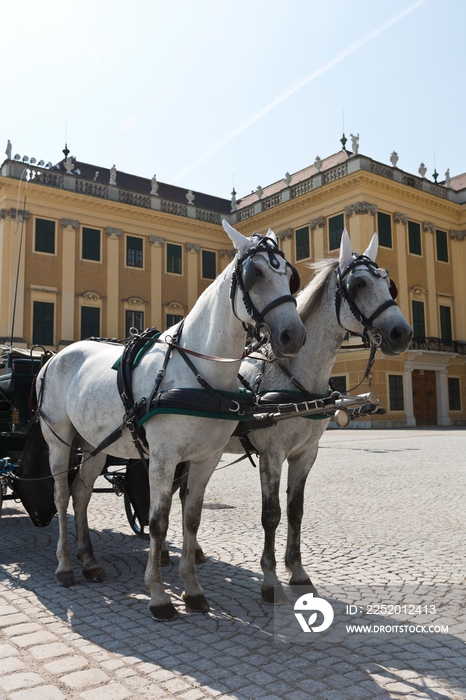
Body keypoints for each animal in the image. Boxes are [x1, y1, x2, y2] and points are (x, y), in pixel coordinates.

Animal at [35, 221, 306, 620]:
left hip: (95, 444)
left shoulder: (205, 458)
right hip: (59, 441)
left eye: (289, 276)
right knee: (61, 494)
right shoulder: (164, 457)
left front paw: (192, 589)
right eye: (254, 273)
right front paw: (159, 594)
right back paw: (65, 565)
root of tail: (54, 357)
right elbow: (158, 521)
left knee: (81, 493)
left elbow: (191, 518)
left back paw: (89, 561)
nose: (293, 335)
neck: (199, 371)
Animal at [224, 230, 414, 600]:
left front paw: (296, 570)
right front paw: (270, 577)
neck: (295, 379)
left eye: (389, 283)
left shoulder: (306, 454)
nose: (402, 333)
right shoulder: (272, 454)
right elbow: (271, 514)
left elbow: (295, 511)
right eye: (359, 284)